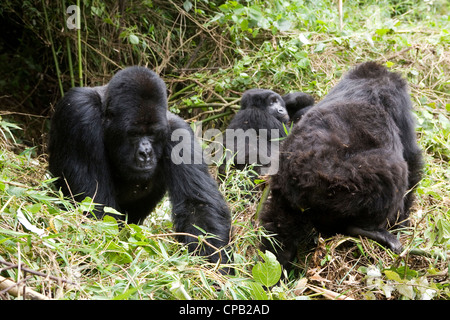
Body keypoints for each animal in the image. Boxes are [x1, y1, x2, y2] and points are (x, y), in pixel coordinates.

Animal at [49, 65, 232, 268]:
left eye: (153, 134)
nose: (145, 153)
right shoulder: (79, 113)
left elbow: (198, 207)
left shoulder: (179, 131)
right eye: (134, 133)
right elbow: (97, 207)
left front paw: (213, 266)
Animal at [258, 62, 424, 268]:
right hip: (340, 185)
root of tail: (301, 178)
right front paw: (400, 224)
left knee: (279, 232)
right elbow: (412, 160)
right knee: (393, 170)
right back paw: (365, 229)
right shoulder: (399, 101)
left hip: (284, 192)